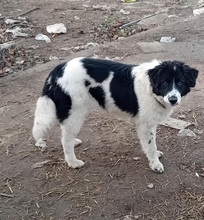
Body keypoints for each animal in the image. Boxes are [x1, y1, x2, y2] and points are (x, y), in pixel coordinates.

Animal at [31, 58, 198, 174]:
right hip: (75, 113)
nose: (173, 99)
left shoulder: (149, 124)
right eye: (164, 83)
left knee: (65, 134)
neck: (151, 86)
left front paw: (155, 156)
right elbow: (150, 145)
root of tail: (58, 70)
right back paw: (73, 162)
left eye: (180, 83)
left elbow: (149, 145)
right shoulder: (145, 125)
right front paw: (155, 164)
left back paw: (75, 142)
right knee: (65, 139)